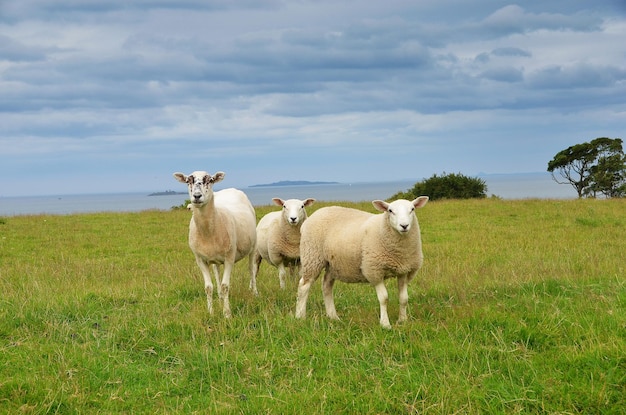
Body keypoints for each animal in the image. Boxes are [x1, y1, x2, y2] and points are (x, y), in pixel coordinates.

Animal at [172, 171, 258, 318]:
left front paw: (227, 314)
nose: (197, 196)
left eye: (210, 180)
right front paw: (211, 312)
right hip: (215, 259)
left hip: (252, 246)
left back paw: (255, 292)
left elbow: (225, 286)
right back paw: (220, 297)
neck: (208, 231)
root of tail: (231, 189)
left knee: (251, 269)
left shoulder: (230, 257)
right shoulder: (200, 260)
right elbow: (208, 287)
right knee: (217, 273)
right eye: (188, 181)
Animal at [294, 197, 426, 330]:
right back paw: (300, 316)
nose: (404, 225)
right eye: (390, 210)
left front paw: (403, 320)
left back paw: (333, 316)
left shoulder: (404, 270)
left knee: (326, 285)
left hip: (332, 264)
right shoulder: (374, 270)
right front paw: (385, 324)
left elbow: (404, 298)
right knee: (303, 286)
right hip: (312, 257)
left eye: (412, 209)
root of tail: (308, 220)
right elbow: (384, 298)